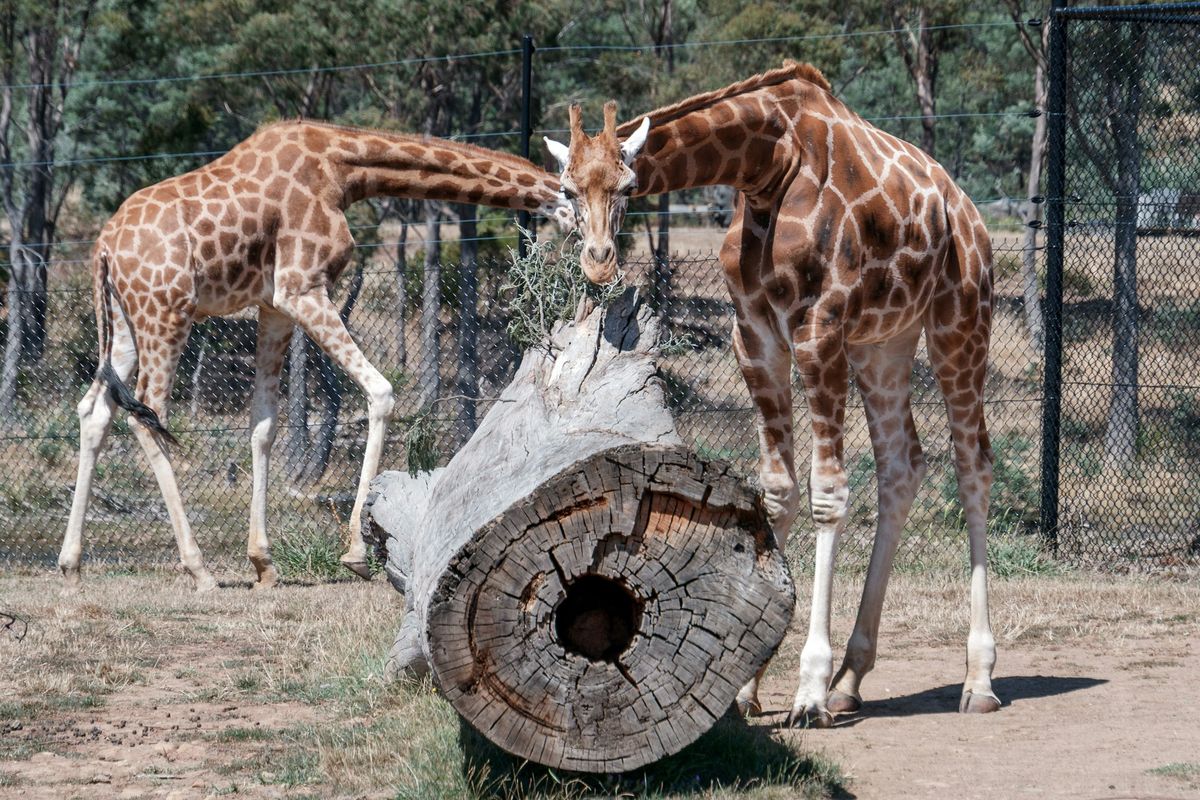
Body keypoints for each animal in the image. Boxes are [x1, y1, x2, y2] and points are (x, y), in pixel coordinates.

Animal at [58, 120, 573, 594]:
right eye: (573, 190)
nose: (587, 242)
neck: (342, 169)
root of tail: (103, 247)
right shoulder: (301, 287)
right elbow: (380, 391)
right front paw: (357, 551)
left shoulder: (272, 303)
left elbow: (264, 423)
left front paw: (263, 563)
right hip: (165, 313)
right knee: (148, 413)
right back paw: (198, 569)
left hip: (124, 322)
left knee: (95, 409)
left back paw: (71, 563)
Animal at [542, 62, 993, 724]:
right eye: (569, 190)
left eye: (626, 186)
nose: (599, 263)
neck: (764, 167)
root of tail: (967, 211)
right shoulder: (753, 335)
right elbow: (777, 492)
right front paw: (746, 688)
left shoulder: (818, 329)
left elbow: (828, 495)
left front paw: (807, 690)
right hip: (885, 342)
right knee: (903, 466)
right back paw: (853, 678)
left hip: (959, 322)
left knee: (972, 466)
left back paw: (977, 679)